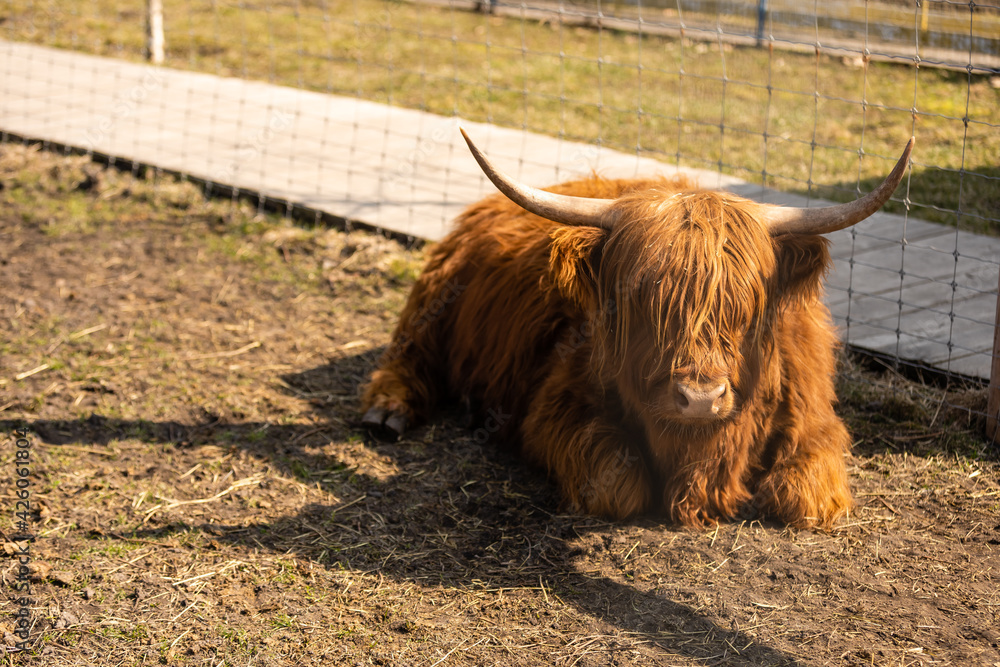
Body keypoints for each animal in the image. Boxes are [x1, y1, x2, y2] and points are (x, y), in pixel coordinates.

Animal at [362, 129, 914, 529]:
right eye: (645, 301)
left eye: (745, 306)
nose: (700, 398)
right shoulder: (555, 409)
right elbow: (619, 488)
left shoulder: (816, 422)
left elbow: (804, 498)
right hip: (435, 293)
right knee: (407, 353)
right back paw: (387, 412)